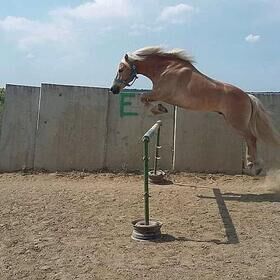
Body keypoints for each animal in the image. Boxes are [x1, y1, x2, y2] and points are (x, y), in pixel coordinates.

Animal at [110, 46, 280, 174]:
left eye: (121, 69)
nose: (114, 89)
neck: (166, 69)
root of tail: (248, 97)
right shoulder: (159, 94)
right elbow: (145, 99)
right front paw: (160, 108)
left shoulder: (161, 93)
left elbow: (142, 97)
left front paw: (159, 109)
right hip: (235, 122)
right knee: (249, 139)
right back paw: (253, 165)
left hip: (236, 122)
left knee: (252, 138)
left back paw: (254, 167)